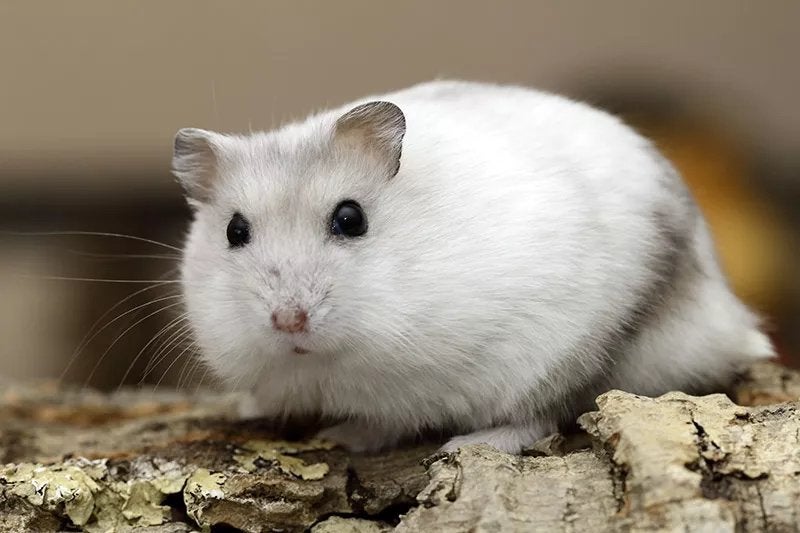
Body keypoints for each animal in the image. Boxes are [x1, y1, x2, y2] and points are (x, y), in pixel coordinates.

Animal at [172, 80, 774, 454]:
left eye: (350, 218)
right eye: (234, 232)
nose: (288, 322)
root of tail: (728, 322)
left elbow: (388, 419)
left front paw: (342, 436)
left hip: (574, 355)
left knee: (543, 415)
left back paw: (467, 444)